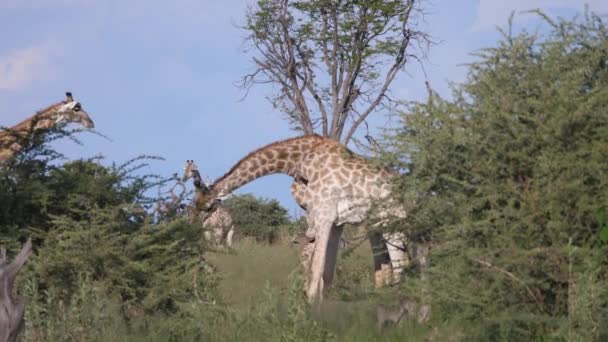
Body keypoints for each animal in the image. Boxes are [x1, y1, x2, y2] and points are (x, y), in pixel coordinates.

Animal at [189, 135, 418, 300]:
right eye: (194, 204)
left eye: (208, 207)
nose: (192, 226)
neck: (298, 159)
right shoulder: (334, 221)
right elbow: (325, 273)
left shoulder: (324, 214)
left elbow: (315, 270)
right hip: (379, 223)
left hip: (393, 218)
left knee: (402, 262)